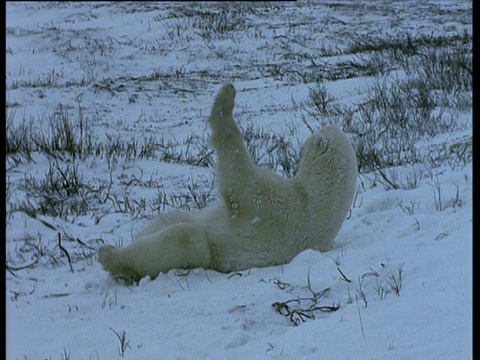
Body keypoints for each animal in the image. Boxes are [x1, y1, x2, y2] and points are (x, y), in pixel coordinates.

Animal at [98, 83, 356, 282]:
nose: (304, 141)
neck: (318, 197)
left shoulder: (283, 208)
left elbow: (239, 177)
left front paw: (225, 99)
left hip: (206, 252)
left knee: (185, 239)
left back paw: (110, 256)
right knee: (173, 217)